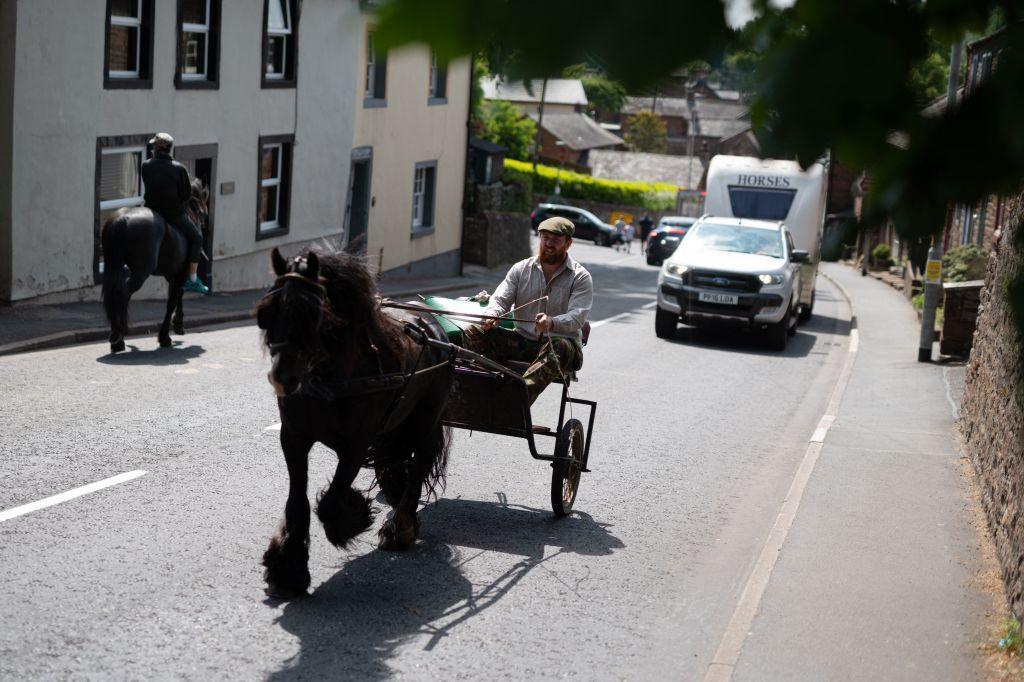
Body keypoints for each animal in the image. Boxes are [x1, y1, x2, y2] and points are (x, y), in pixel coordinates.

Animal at [101, 176, 209, 350]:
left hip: (113, 265)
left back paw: (117, 338)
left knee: (114, 294)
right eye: (202, 199)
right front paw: (165, 336)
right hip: (140, 272)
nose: (204, 216)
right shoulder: (181, 273)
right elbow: (172, 301)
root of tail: (122, 220)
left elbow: (177, 295)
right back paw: (119, 335)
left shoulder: (172, 274)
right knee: (123, 294)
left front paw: (178, 325)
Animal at [256, 246, 452, 598]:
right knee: (398, 461)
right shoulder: (293, 438)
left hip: (425, 421)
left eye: (311, 314)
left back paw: (400, 528)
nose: (282, 378)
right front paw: (287, 569)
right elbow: (297, 500)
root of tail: (432, 325)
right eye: (265, 312)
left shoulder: (357, 443)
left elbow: (332, 498)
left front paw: (352, 518)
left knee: (419, 464)